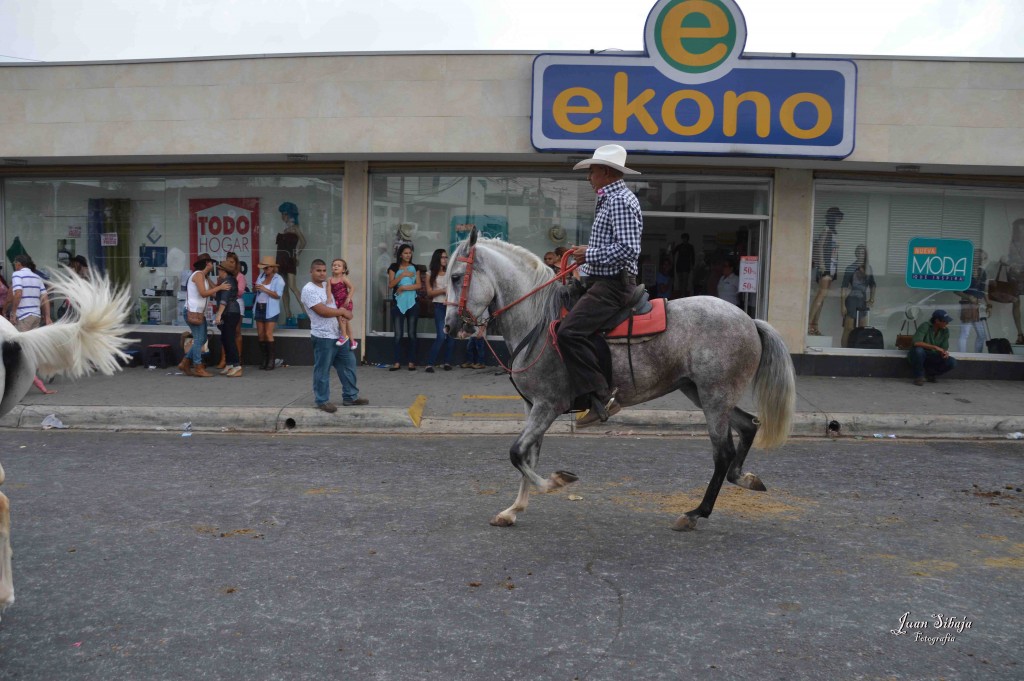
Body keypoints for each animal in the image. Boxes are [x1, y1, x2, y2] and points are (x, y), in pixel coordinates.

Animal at [444, 231, 794, 532]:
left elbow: (517, 453)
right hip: (702, 392)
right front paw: (513, 511)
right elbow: (528, 455)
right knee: (748, 427)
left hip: (715, 397)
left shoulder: (548, 405)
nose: (449, 327)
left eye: (456, 277)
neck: (538, 322)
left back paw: (695, 513)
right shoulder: (533, 407)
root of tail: (749, 320)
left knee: (722, 453)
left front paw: (556, 481)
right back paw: (745, 479)